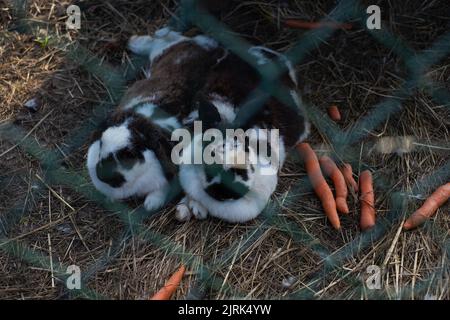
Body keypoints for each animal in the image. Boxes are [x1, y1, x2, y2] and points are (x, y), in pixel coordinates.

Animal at [86, 27, 223, 211]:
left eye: (129, 154)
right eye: (101, 143)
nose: (103, 176)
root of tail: (196, 46)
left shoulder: (164, 178)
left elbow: (160, 192)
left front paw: (150, 204)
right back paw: (135, 41)